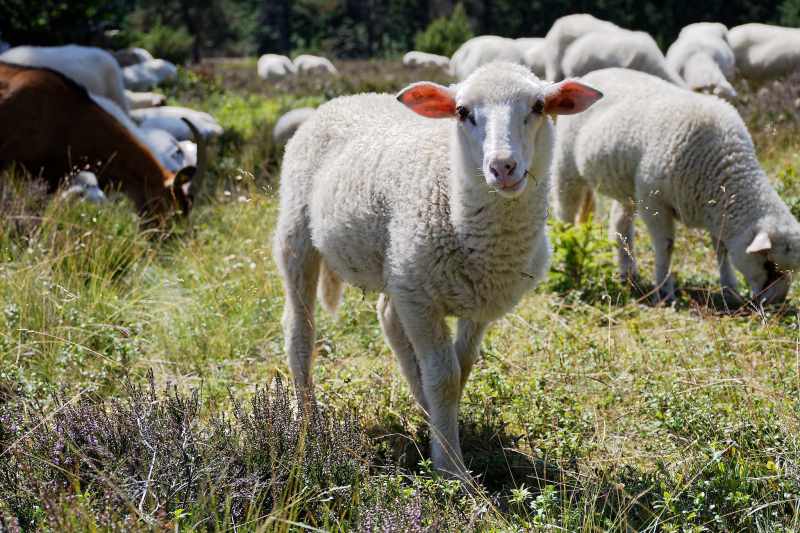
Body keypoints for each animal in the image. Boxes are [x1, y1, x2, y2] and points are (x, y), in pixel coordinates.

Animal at [274, 62, 602, 480]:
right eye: (462, 112)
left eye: (539, 106)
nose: (503, 167)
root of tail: (346, 98)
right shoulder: (422, 300)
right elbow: (444, 378)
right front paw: (452, 469)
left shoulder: (478, 304)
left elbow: (462, 369)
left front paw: (442, 428)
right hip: (298, 234)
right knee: (299, 328)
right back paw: (305, 418)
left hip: (398, 266)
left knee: (387, 316)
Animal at [551, 67, 800, 305]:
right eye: (769, 264)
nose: (776, 303)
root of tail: (589, 74)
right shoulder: (654, 202)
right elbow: (666, 247)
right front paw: (665, 292)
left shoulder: (718, 212)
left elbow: (721, 250)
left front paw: (730, 290)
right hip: (567, 167)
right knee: (566, 211)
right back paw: (569, 255)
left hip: (627, 186)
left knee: (620, 224)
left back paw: (628, 273)